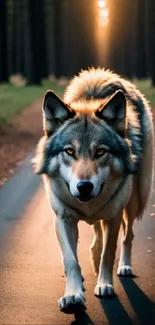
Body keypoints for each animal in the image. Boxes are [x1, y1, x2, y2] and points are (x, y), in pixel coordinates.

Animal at [33, 67, 153, 312]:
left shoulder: (114, 216)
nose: (84, 186)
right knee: (96, 236)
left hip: (134, 199)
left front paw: (105, 285)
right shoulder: (63, 218)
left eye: (100, 152)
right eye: (70, 151)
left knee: (128, 235)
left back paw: (124, 267)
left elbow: (109, 252)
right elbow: (70, 260)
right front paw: (73, 295)